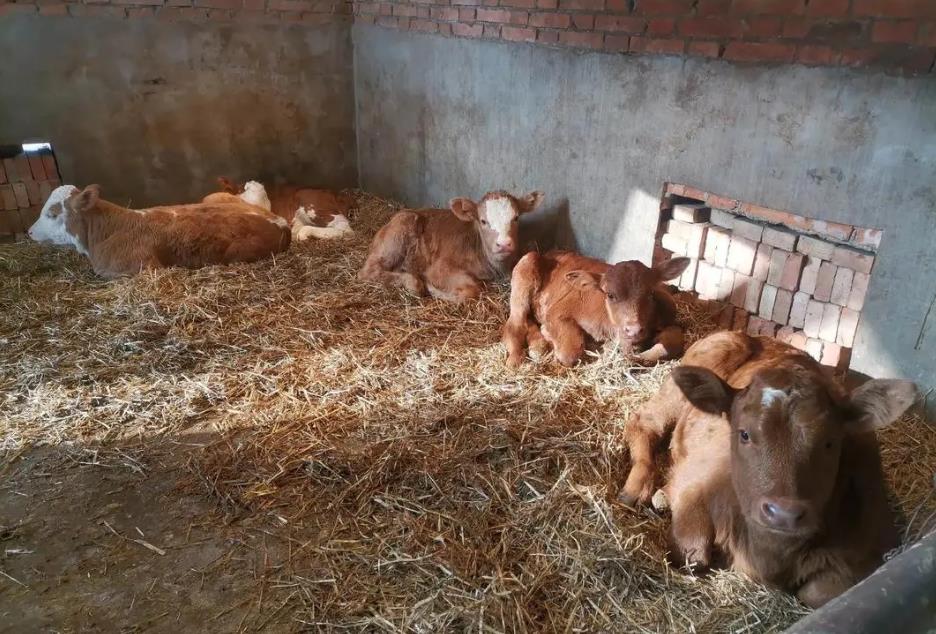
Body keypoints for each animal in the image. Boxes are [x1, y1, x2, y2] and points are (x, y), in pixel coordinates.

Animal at [360, 189, 548, 302]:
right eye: (483, 221)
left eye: (516, 218)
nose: (503, 244)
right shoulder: (439, 268)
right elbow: (472, 290)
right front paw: (434, 289)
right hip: (398, 233)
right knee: (369, 271)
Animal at [504, 248, 688, 366]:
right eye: (610, 295)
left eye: (651, 293)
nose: (634, 330)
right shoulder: (557, 312)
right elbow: (571, 352)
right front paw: (548, 334)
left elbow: (674, 340)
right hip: (526, 267)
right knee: (514, 323)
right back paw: (517, 358)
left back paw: (538, 346)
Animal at [620, 328, 916, 604]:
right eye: (743, 434)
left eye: (831, 442)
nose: (784, 513)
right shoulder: (693, 480)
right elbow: (693, 556)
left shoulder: (873, 543)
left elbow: (819, 592)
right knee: (644, 421)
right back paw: (638, 488)